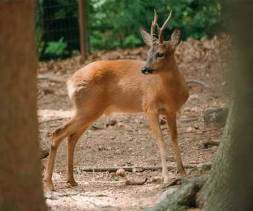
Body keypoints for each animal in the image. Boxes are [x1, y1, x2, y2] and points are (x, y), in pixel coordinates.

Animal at [44, 10, 190, 190]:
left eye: (160, 53)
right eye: (148, 53)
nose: (145, 69)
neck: (169, 93)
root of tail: (70, 81)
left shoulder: (171, 110)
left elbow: (175, 139)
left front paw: (183, 173)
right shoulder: (149, 108)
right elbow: (160, 140)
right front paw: (166, 178)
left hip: (89, 111)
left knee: (71, 137)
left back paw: (71, 180)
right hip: (87, 108)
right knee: (58, 132)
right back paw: (50, 183)